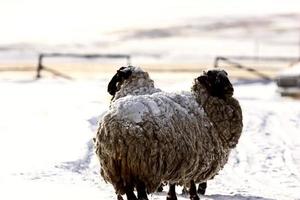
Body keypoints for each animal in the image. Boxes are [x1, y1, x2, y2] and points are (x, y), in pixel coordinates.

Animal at [95, 66, 243, 199]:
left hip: (123, 167)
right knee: (140, 194)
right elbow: (188, 181)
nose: (231, 89)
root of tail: (113, 126)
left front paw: (176, 195)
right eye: (216, 79)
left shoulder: (179, 159)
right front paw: (190, 195)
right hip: (138, 164)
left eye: (225, 76)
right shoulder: (189, 157)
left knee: (132, 193)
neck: (203, 107)